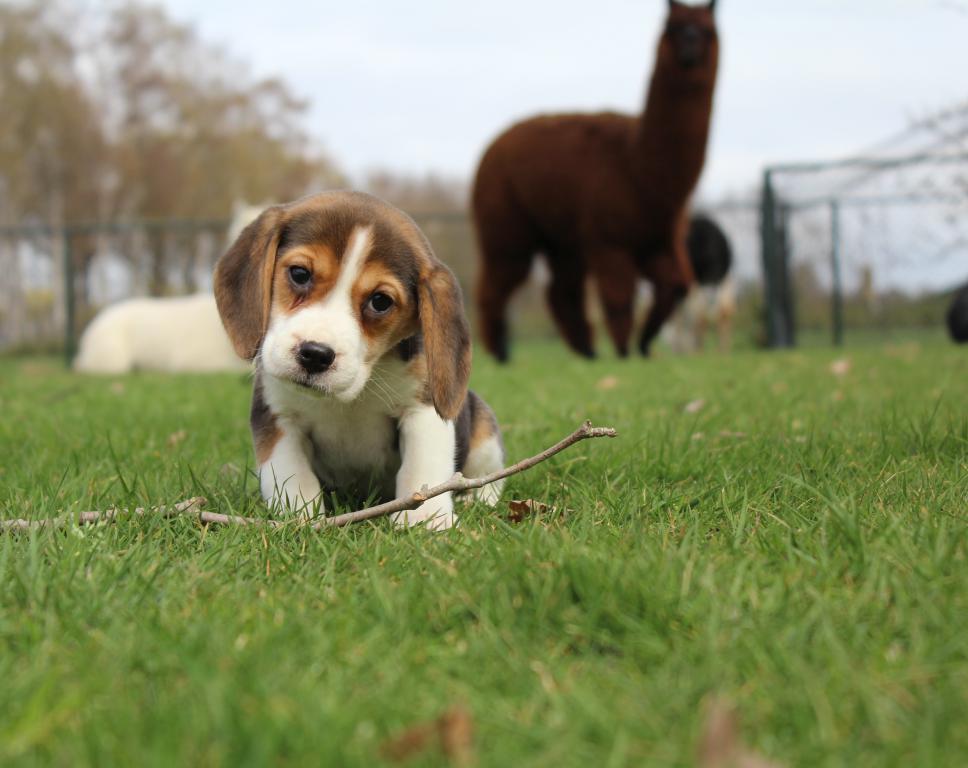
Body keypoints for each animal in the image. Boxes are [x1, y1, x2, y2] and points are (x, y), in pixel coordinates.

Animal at [216, 191, 502, 528]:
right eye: (299, 274)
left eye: (380, 301)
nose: (315, 355)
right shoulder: (278, 416)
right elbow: (293, 475)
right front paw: (299, 518)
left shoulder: (421, 409)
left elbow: (423, 466)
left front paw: (426, 520)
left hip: (484, 432)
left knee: (490, 476)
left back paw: (478, 498)